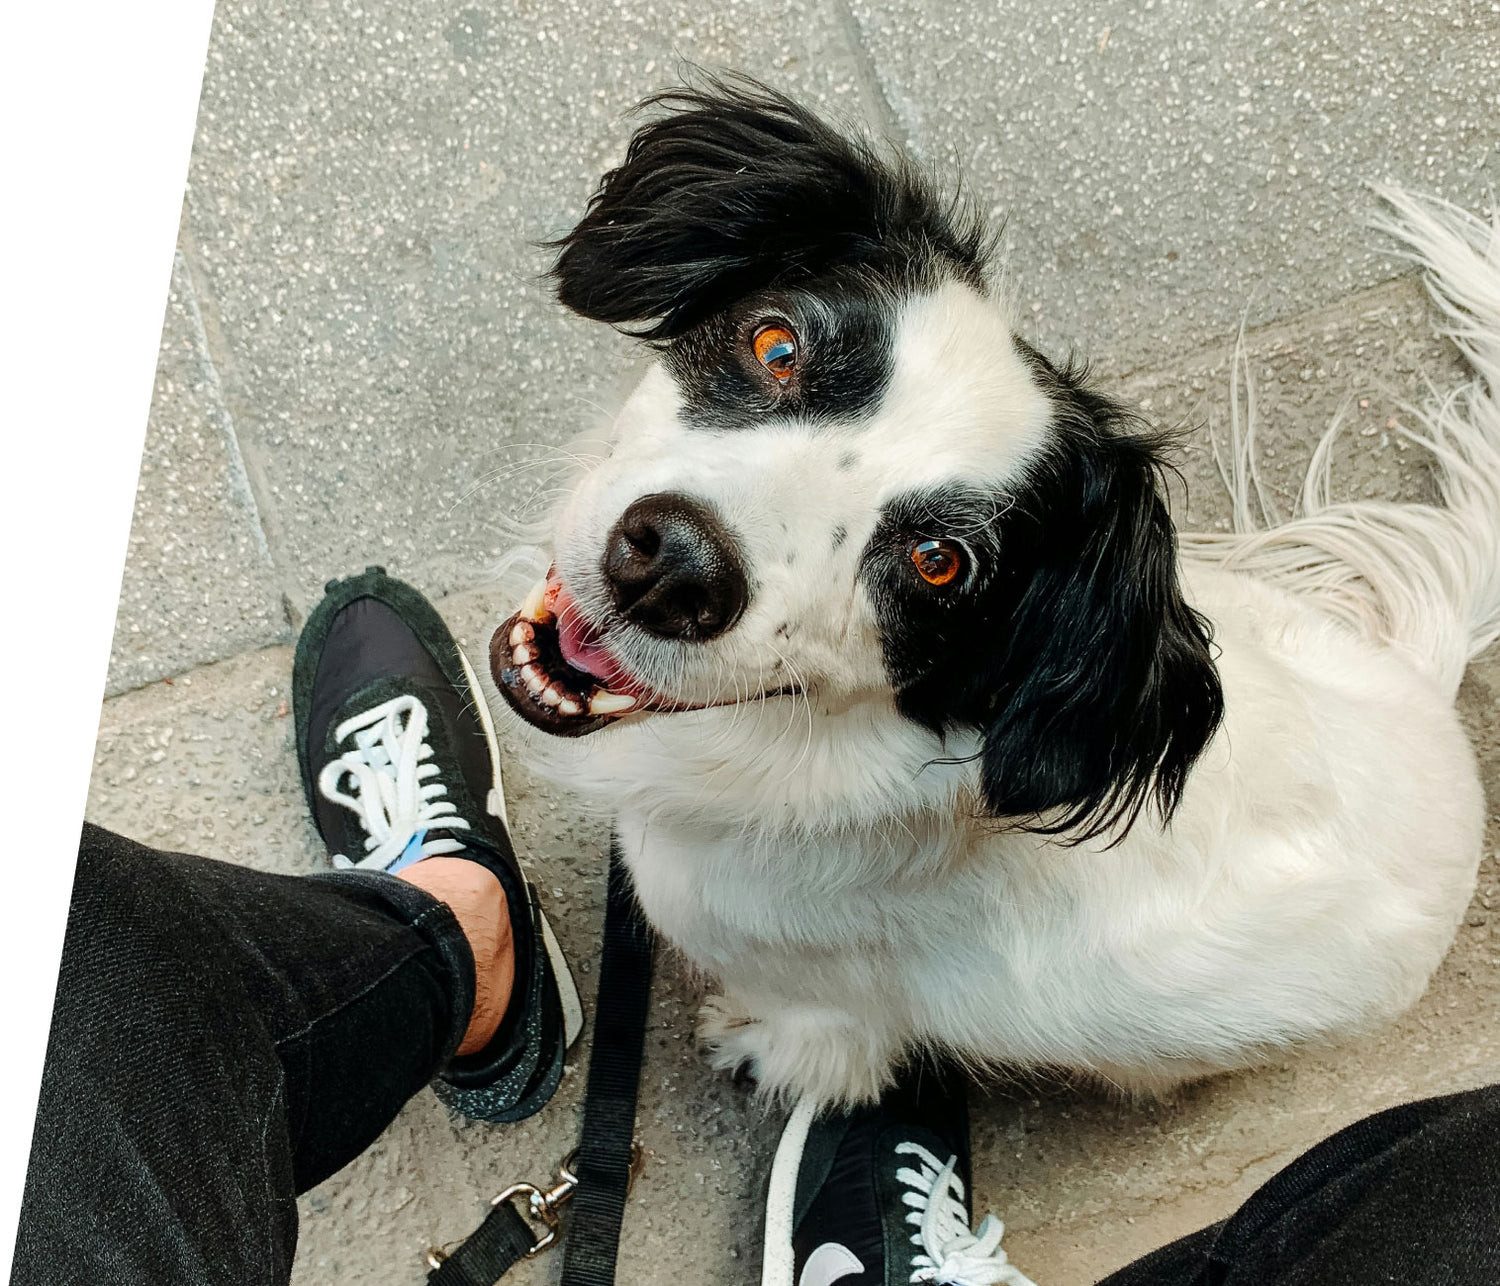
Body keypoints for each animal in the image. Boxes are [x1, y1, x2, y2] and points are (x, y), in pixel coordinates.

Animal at [489, 77, 1500, 1104]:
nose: (673, 569)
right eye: (777, 346)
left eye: (941, 562)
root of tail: (1432, 690)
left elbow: (805, 1040)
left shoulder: (817, 1005)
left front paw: (746, 1041)